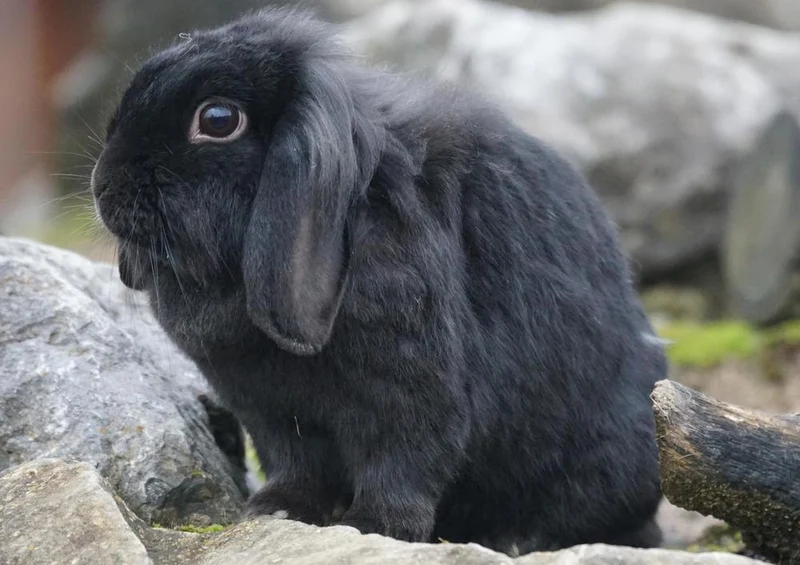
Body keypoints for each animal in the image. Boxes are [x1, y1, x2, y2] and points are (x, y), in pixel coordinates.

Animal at [90, 7, 668, 554]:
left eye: (217, 119)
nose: (102, 185)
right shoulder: (267, 409)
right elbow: (297, 462)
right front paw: (275, 510)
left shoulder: (411, 390)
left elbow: (401, 464)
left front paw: (374, 527)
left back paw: (522, 539)